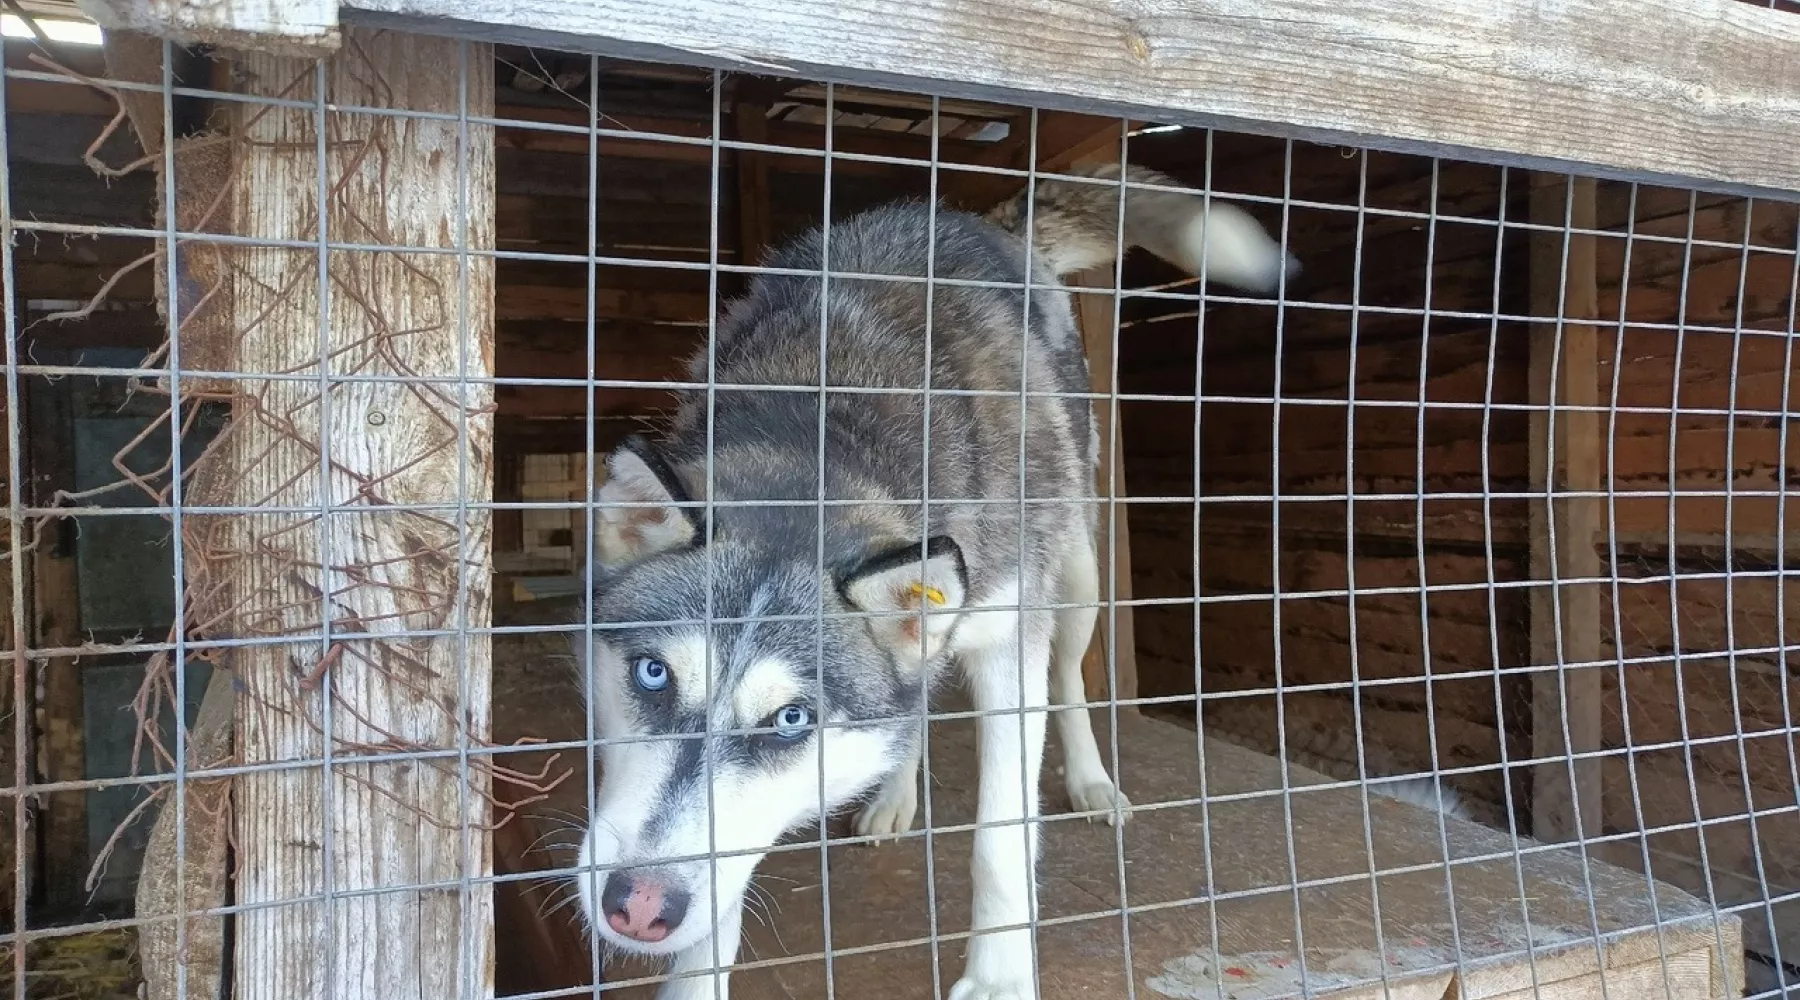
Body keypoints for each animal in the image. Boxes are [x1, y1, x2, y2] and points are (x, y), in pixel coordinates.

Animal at [576, 163, 1296, 1000]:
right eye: (652, 675)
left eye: (791, 720)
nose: (637, 905)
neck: (823, 430)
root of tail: (980, 218)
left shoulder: (1011, 642)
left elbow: (1001, 837)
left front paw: (1000, 978)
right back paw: (895, 793)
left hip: (1075, 571)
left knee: (1070, 679)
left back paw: (1089, 779)